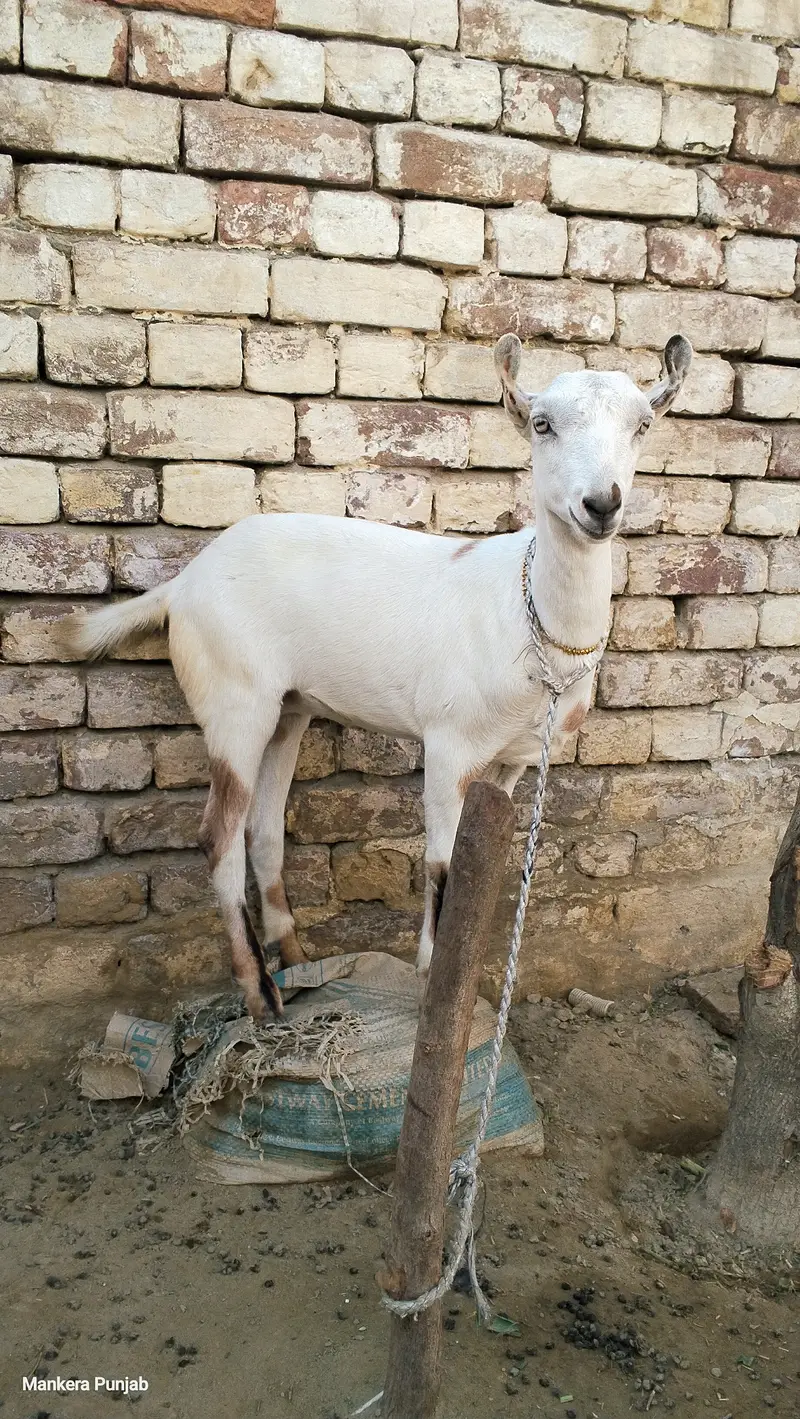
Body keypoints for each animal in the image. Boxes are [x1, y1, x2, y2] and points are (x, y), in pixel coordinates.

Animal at [69, 331, 692, 1021]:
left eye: (642, 425)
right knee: (218, 834)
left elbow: (481, 874)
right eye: (542, 424)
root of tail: (182, 585)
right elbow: (443, 868)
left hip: (288, 709)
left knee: (263, 828)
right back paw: (260, 993)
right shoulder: (450, 744)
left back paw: (297, 960)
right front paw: (429, 989)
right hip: (236, 697)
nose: (601, 504)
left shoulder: (512, 759)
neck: (525, 611)